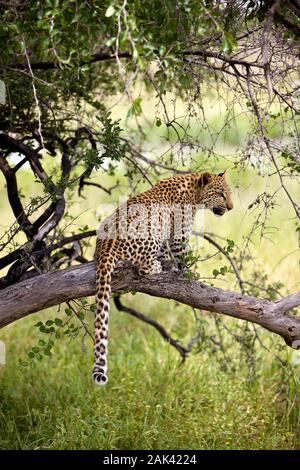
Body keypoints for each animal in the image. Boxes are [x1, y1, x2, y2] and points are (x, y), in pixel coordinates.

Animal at [92, 171, 233, 384]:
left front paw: (168, 263)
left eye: (229, 193)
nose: (231, 207)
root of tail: (105, 248)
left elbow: (167, 254)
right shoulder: (179, 234)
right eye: (221, 194)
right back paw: (157, 267)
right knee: (143, 268)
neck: (194, 192)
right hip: (152, 227)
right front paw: (188, 272)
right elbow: (182, 256)